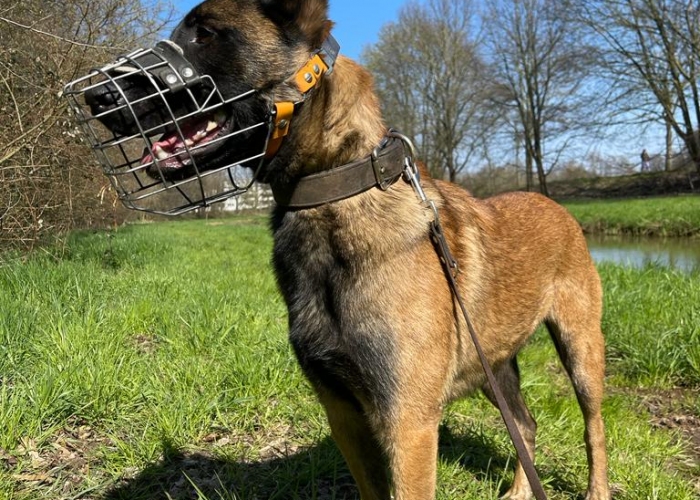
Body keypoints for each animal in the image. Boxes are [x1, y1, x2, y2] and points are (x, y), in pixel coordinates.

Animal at [78, 0, 612, 498]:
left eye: (206, 33)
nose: (94, 95)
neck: (334, 192)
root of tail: (557, 206)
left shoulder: (409, 426)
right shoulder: (345, 417)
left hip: (581, 351)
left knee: (593, 427)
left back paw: (597, 488)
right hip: (494, 364)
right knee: (524, 424)